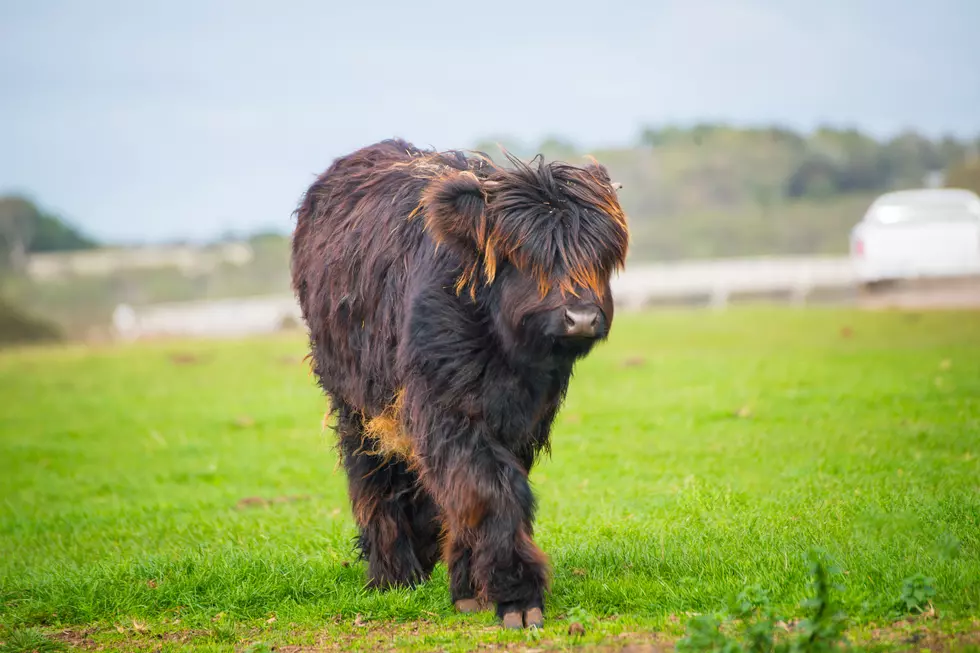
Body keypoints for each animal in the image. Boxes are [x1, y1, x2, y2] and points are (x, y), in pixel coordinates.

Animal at [290, 138, 628, 628]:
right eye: (524, 256)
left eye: (600, 256)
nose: (581, 316)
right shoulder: (444, 406)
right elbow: (485, 489)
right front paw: (517, 598)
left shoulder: (525, 419)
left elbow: (484, 490)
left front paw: (471, 588)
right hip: (354, 401)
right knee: (372, 473)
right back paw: (392, 574)